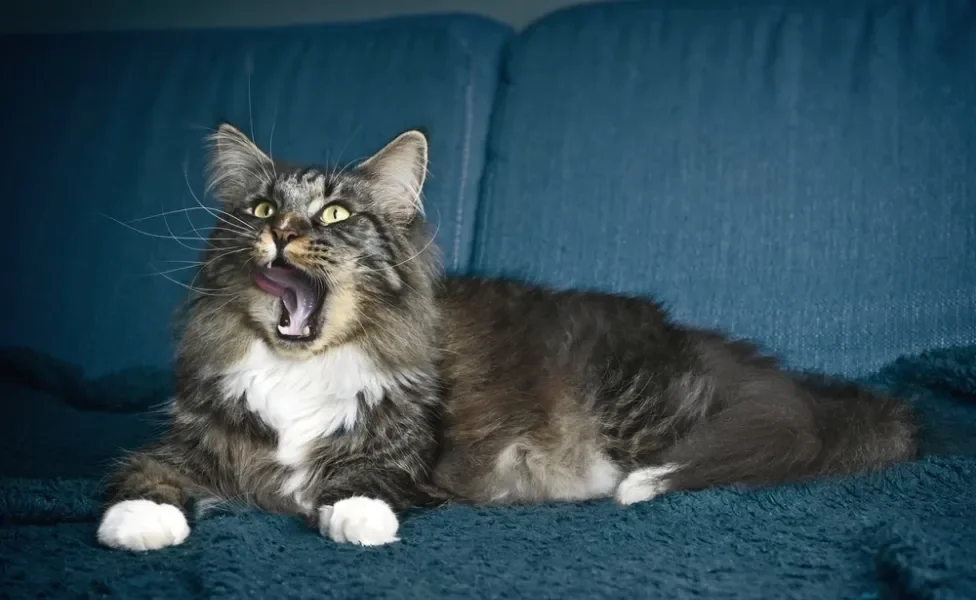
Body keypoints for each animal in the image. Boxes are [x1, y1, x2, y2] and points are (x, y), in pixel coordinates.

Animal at [95, 124, 920, 552]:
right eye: (263, 210)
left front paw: (358, 519)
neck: (302, 366)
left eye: (335, 215)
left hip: (641, 409)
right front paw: (136, 524)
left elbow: (362, 481)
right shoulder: (192, 435)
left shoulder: (405, 456)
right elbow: (146, 470)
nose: (284, 233)